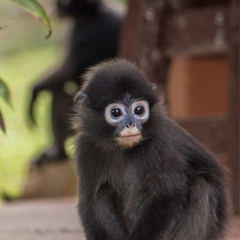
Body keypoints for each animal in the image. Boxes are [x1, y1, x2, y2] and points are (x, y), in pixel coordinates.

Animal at [28, 0, 122, 165]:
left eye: (64, 2)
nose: (56, 9)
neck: (93, 13)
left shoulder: (82, 30)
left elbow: (67, 70)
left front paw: (35, 90)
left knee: (58, 91)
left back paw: (57, 153)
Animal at [74, 59, 230, 240]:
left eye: (139, 110)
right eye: (116, 112)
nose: (130, 124)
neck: (124, 149)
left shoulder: (160, 143)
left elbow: (167, 195)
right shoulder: (86, 146)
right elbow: (88, 203)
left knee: (201, 186)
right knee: (102, 194)